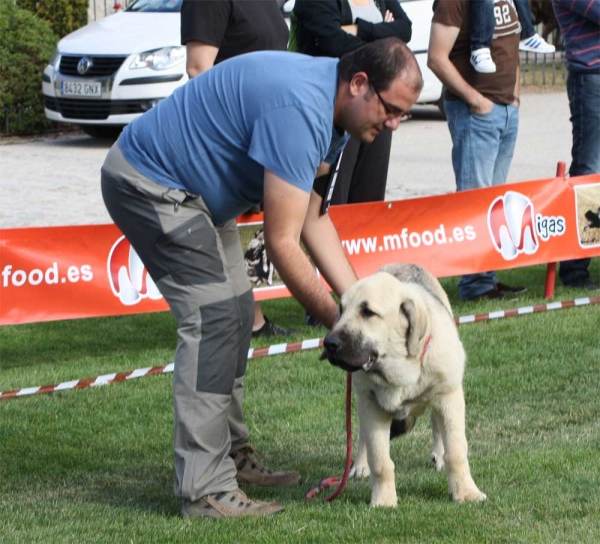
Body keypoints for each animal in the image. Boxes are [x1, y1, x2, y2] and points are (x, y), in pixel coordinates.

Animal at [322, 264, 486, 506]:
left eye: (368, 312)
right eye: (340, 310)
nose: (329, 343)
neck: (400, 370)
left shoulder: (449, 397)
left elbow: (456, 452)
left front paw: (466, 493)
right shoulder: (370, 404)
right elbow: (380, 460)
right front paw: (383, 501)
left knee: (436, 426)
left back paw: (439, 456)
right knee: (362, 437)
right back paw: (360, 465)